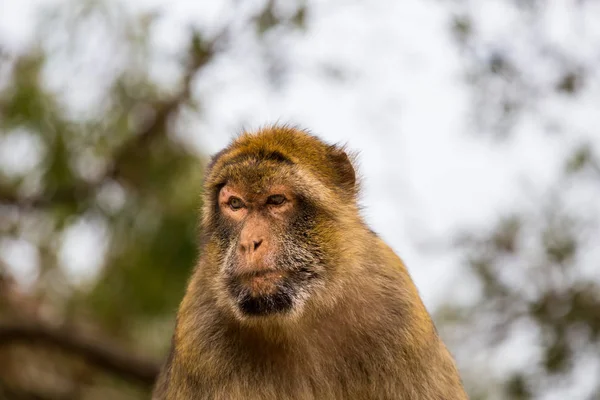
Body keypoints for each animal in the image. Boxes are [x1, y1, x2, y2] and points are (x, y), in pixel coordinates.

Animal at [152, 126, 466, 400]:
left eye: (276, 200)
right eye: (236, 205)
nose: (249, 242)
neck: (298, 319)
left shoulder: (400, 312)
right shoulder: (199, 333)